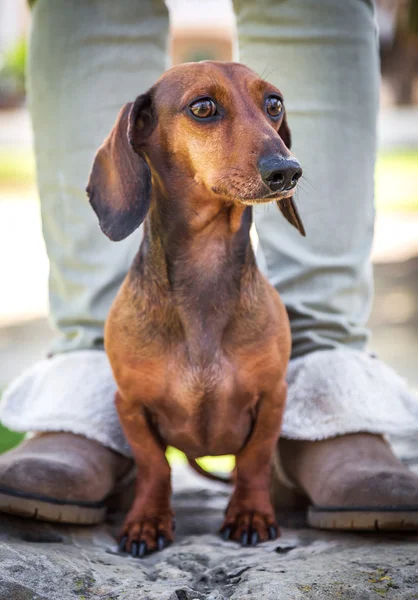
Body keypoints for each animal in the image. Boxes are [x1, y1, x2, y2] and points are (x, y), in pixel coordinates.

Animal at [86, 61, 306, 556]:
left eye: (274, 103)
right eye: (203, 107)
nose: (287, 171)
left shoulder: (274, 396)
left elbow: (254, 459)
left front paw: (250, 513)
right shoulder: (129, 404)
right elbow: (155, 465)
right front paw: (147, 521)